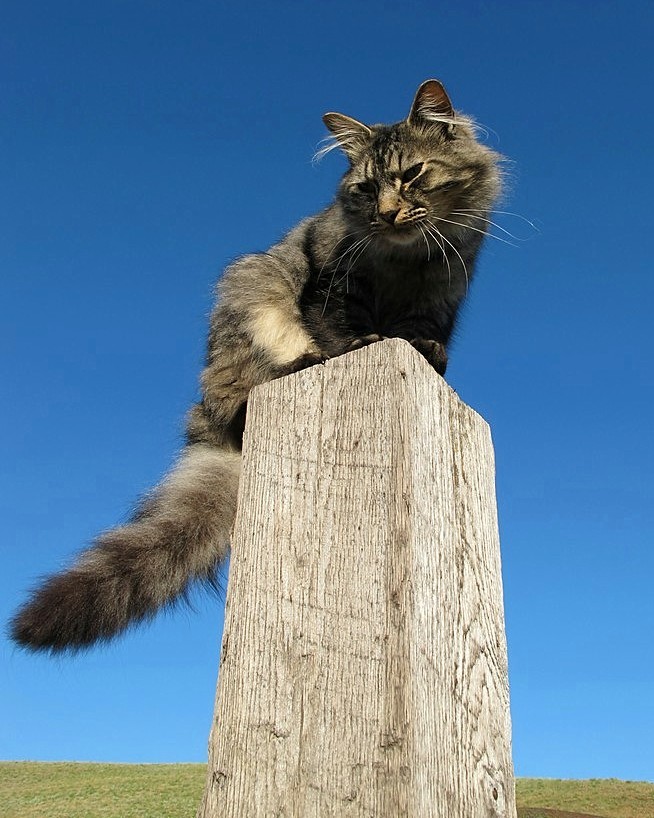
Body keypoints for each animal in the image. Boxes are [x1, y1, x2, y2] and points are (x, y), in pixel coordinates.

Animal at [10, 79, 501, 653]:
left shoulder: (440, 299)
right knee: (247, 391)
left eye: (412, 174)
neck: (406, 262)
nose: (383, 213)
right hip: (250, 288)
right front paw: (361, 342)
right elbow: (342, 327)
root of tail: (206, 428)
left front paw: (421, 350)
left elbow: (426, 339)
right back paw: (307, 360)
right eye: (364, 189)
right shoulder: (331, 285)